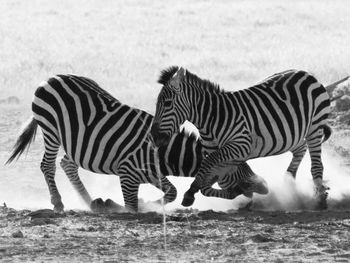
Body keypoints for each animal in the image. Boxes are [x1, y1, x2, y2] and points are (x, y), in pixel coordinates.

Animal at [6, 73, 266, 212]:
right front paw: (115, 203)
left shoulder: (150, 173)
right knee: (48, 165)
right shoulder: (128, 174)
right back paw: (59, 202)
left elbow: (171, 192)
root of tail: (52, 78)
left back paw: (89, 201)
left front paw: (146, 201)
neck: (165, 153)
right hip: (51, 131)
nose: (265, 187)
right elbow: (131, 206)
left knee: (67, 164)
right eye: (239, 165)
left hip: (75, 141)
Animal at [152, 66, 332, 210]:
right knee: (301, 148)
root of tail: (304, 72)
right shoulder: (225, 156)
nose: (154, 137)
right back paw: (289, 183)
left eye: (167, 103)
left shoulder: (239, 146)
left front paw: (191, 191)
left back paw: (320, 199)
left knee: (316, 165)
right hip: (289, 135)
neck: (213, 118)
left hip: (315, 127)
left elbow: (208, 164)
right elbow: (208, 178)